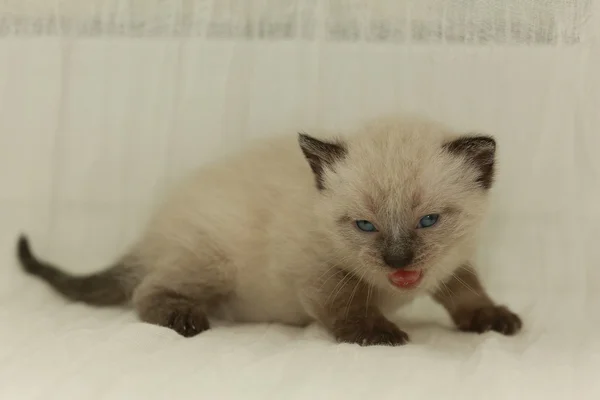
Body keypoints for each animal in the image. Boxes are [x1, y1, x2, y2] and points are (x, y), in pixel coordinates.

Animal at [16, 115, 524, 344]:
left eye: (429, 221)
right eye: (364, 226)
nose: (398, 261)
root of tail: (153, 230)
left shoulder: (452, 262)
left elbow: (468, 292)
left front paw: (493, 318)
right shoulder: (316, 271)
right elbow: (347, 305)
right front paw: (378, 333)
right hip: (214, 263)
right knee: (145, 290)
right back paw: (185, 319)